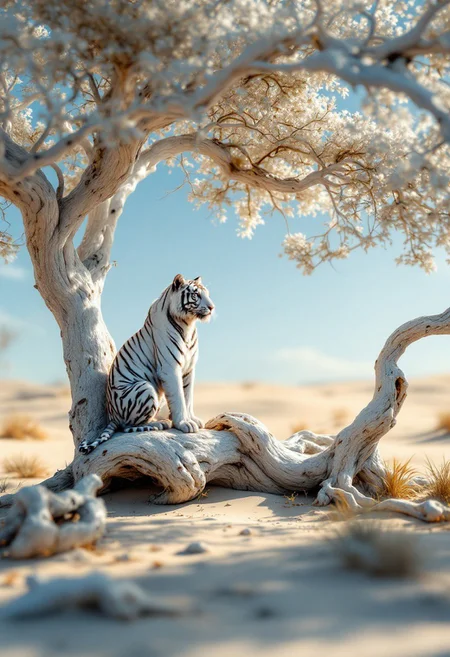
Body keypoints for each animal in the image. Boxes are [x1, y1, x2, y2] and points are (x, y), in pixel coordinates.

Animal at [78, 274, 215, 455]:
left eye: (207, 294)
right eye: (196, 295)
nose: (212, 307)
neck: (188, 324)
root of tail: (112, 416)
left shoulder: (189, 369)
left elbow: (188, 397)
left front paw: (192, 419)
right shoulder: (170, 368)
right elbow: (179, 397)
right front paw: (184, 423)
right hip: (145, 387)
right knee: (128, 426)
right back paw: (160, 422)